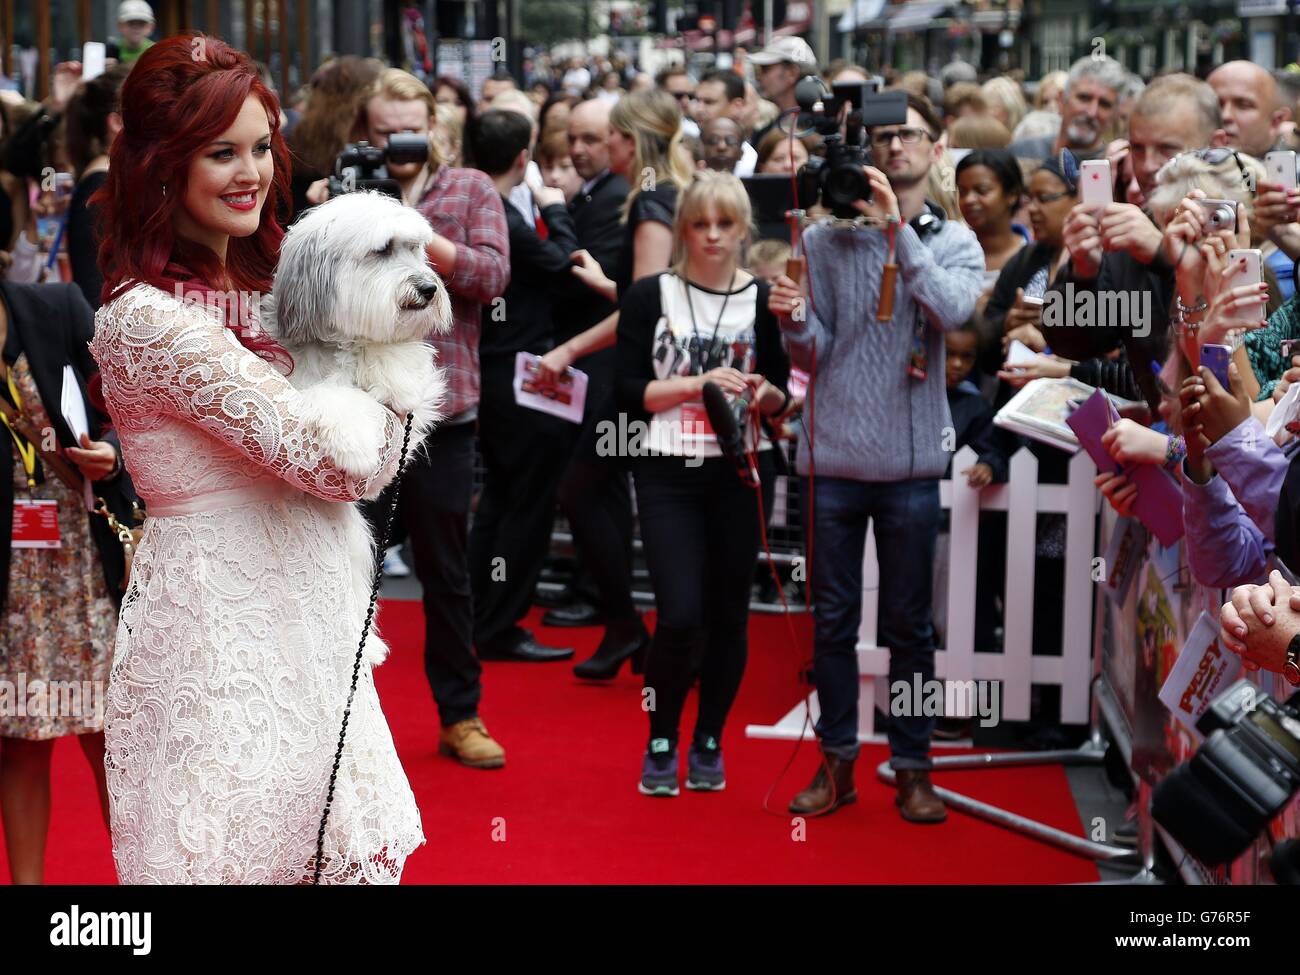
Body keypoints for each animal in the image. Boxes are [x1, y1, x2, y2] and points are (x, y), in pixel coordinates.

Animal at [258, 191, 452, 665]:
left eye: (416, 248)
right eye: (382, 250)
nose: (428, 288)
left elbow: (398, 360)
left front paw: (395, 373)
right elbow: (334, 397)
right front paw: (357, 445)